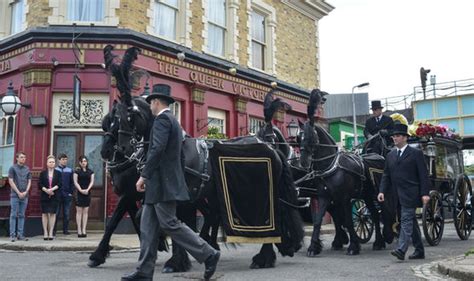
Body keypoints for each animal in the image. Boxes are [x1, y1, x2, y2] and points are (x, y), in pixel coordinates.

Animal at [298, 88, 398, 255]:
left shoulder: (344, 198)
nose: (303, 162)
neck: (331, 166)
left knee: (385, 213)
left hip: (378, 194)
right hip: (367, 195)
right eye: (298, 138)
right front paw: (313, 247)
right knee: (374, 215)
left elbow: (348, 221)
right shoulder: (324, 197)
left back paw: (385, 237)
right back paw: (378, 242)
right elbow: (318, 221)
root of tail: (380, 155)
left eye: (311, 136)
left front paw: (353, 246)